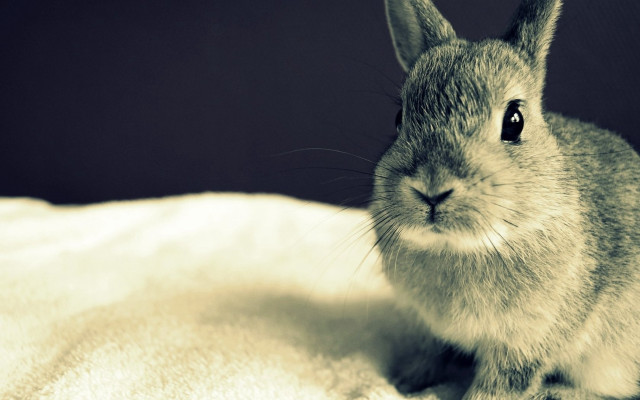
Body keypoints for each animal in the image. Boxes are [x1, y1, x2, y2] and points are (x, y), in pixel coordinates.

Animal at [369, 0, 640, 399]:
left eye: (514, 121)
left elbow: (499, 386)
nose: (432, 188)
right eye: (400, 117)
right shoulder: (430, 330)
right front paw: (405, 383)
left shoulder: (525, 341)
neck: (460, 247)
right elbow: (429, 354)